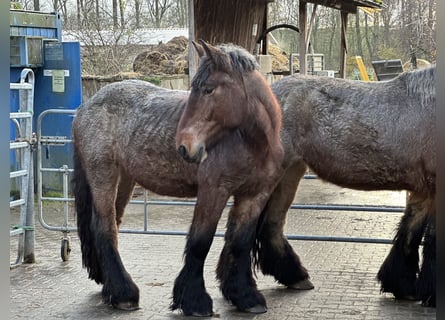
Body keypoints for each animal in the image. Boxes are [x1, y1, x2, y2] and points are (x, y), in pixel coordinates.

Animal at [71, 40, 312, 318]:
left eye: (208, 89)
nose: (185, 147)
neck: (249, 141)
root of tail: (86, 107)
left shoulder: (254, 195)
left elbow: (240, 242)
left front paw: (246, 297)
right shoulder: (213, 191)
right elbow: (200, 242)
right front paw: (195, 302)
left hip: (124, 181)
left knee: (112, 224)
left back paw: (108, 285)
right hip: (103, 176)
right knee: (105, 227)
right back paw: (124, 294)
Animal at [268, 65, 434, 308]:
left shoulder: (424, 191)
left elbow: (411, 231)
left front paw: (402, 287)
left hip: (291, 173)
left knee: (270, 223)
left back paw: (294, 278)